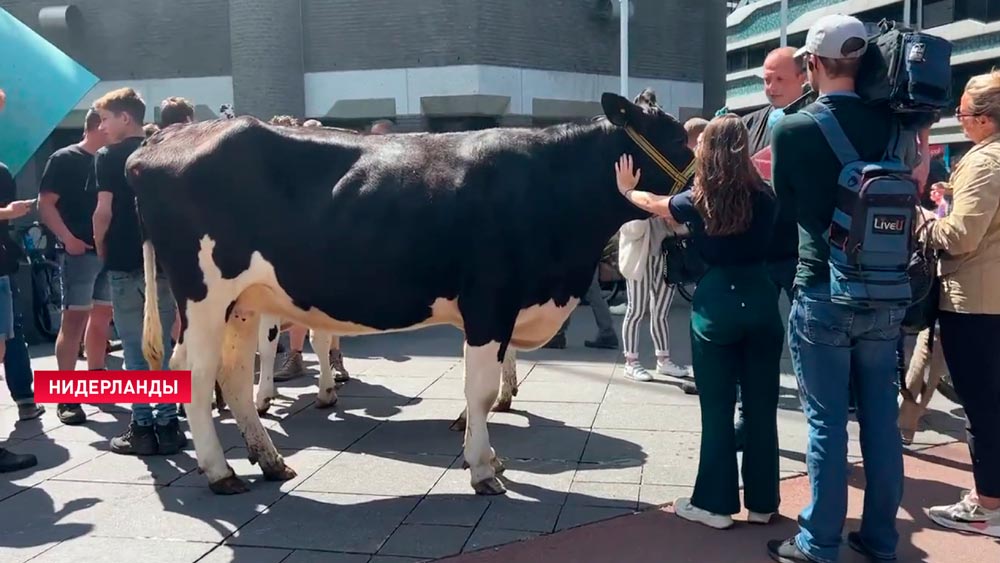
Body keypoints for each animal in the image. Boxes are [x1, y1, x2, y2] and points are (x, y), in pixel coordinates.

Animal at [127, 89, 696, 498]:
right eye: (679, 140)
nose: (703, 192)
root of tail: (161, 140)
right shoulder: (490, 302)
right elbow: (479, 391)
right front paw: (483, 469)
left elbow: (483, 390)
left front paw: (488, 456)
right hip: (203, 297)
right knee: (195, 373)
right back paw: (220, 471)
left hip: (243, 304)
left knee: (233, 376)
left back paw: (270, 462)